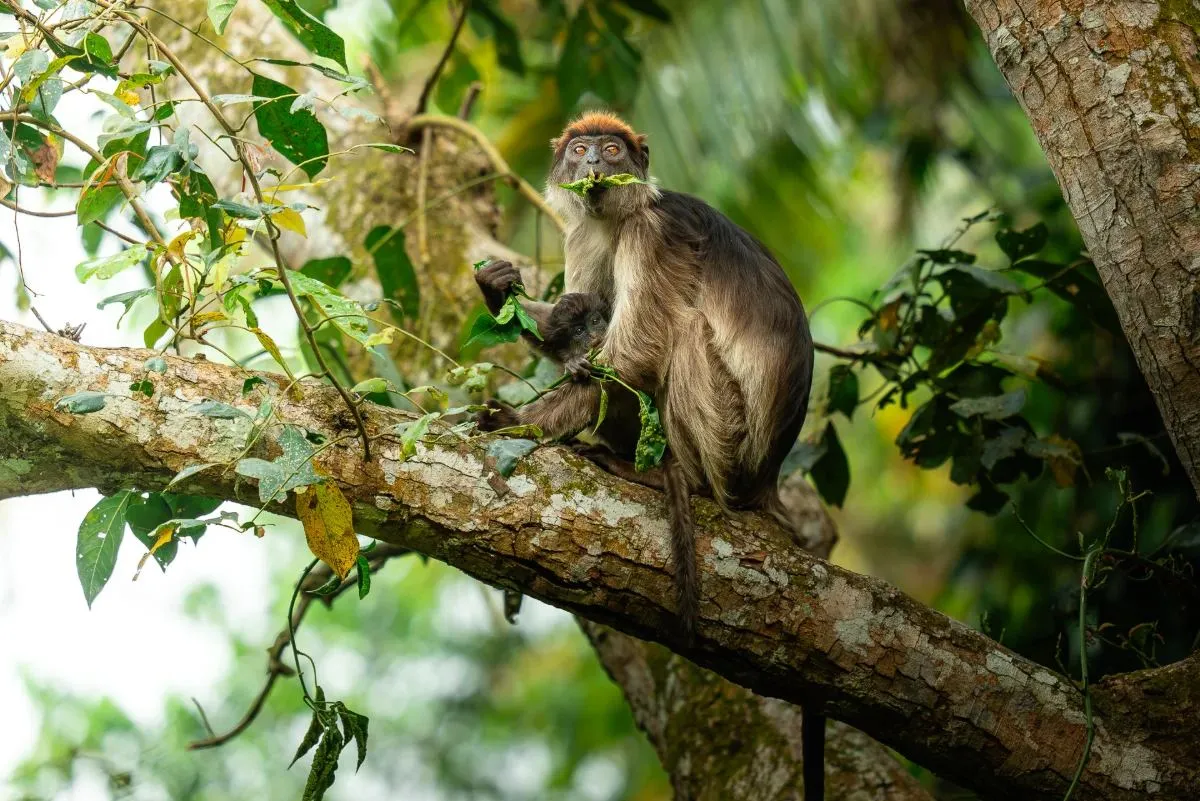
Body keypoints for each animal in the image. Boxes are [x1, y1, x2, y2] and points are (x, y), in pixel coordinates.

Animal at [475, 112, 823, 799]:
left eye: (612, 152)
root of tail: (765, 480)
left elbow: (632, 355)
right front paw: (497, 290)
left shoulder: (653, 235)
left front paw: (521, 423)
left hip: (728, 441)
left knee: (678, 331)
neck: (618, 217)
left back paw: (660, 476)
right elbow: (579, 318)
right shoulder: (586, 232)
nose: (591, 165)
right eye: (581, 150)